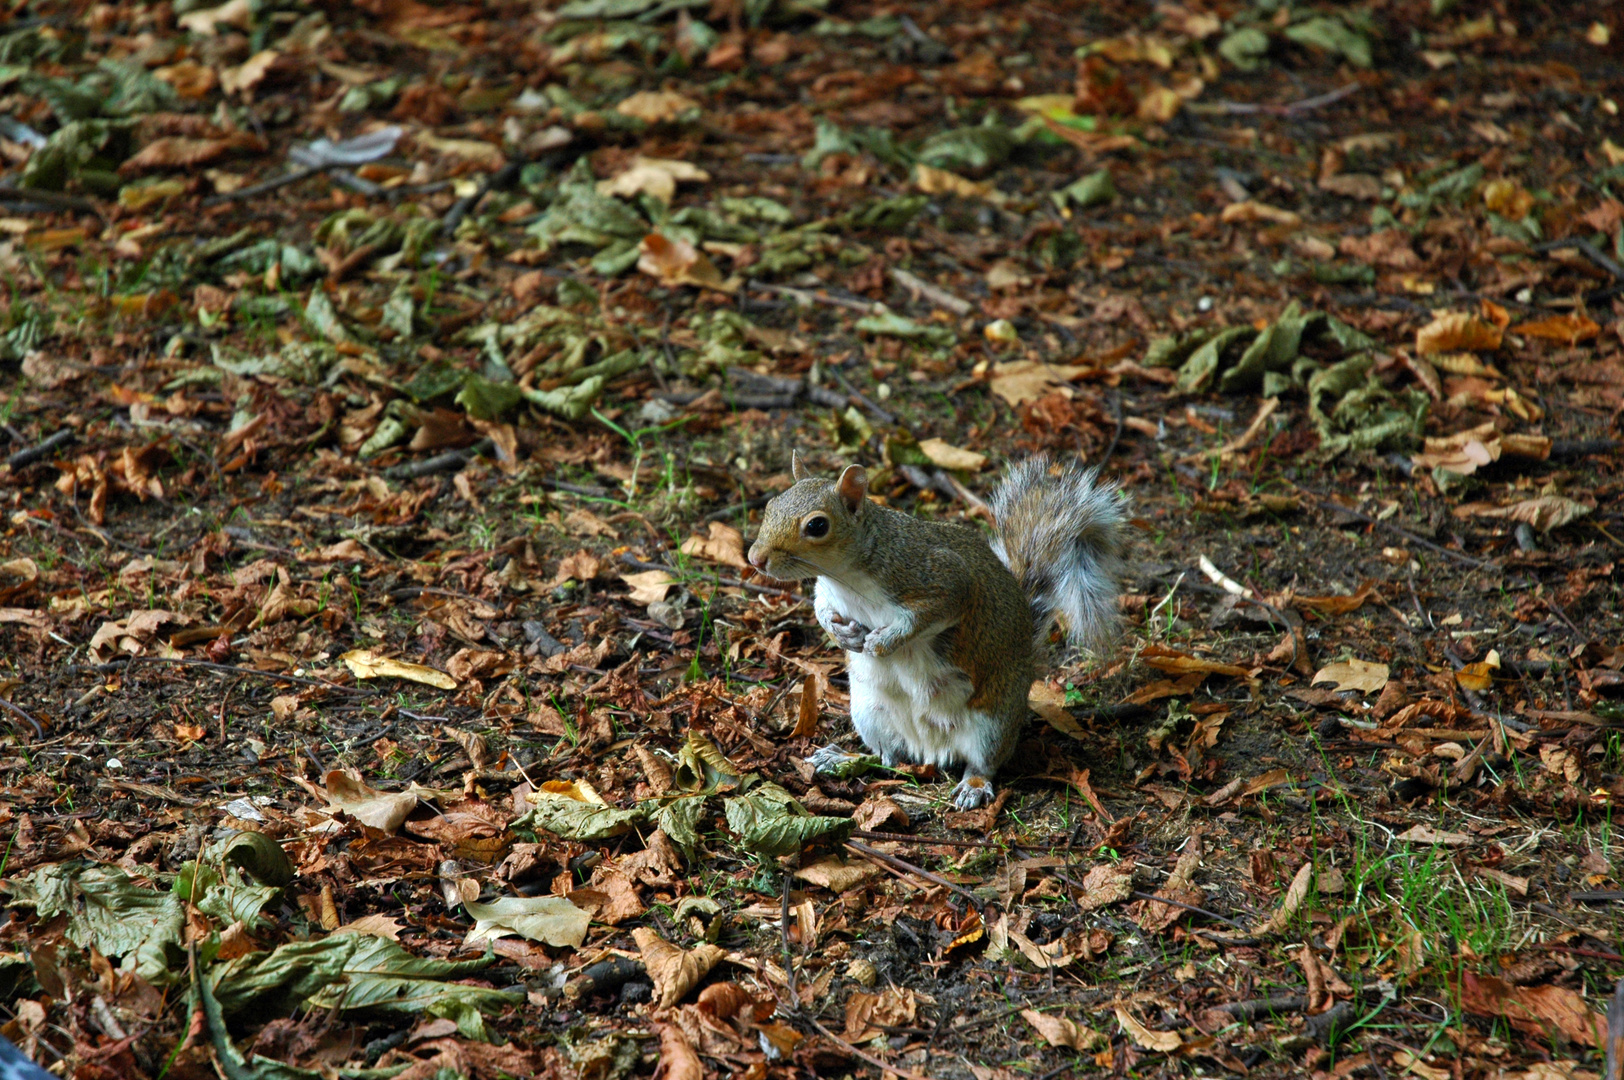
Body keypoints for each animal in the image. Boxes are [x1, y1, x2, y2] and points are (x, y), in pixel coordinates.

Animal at [747, 448, 1130, 808]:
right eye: (771, 504)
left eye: (817, 526)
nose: (755, 558)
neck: (845, 577)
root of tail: (930, 748)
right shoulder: (828, 592)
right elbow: (821, 608)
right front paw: (841, 634)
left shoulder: (942, 580)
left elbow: (925, 616)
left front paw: (883, 643)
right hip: (870, 714)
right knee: (885, 758)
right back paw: (842, 758)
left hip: (992, 723)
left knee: (983, 763)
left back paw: (973, 786)